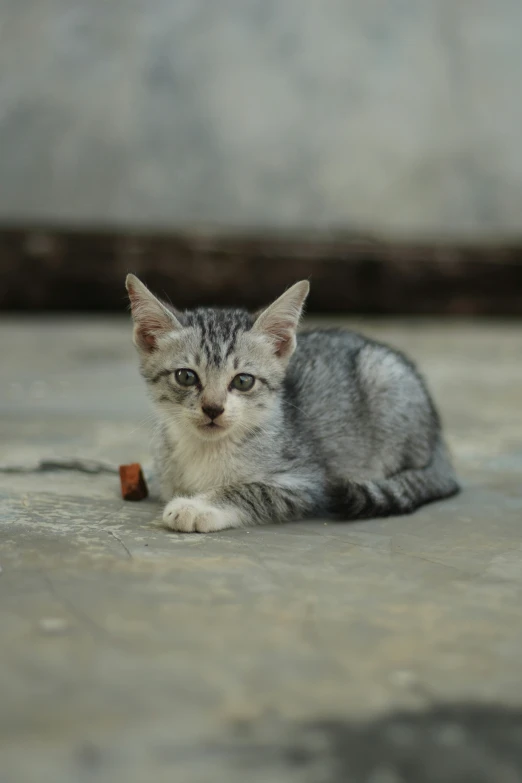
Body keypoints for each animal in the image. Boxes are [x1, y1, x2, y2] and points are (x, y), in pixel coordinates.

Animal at [128, 272, 458, 536]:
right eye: (186, 376)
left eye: (243, 381)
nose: (212, 408)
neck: (207, 450)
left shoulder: (306, 482)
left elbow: (252, 490)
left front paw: (198, 507)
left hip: (384, 377)